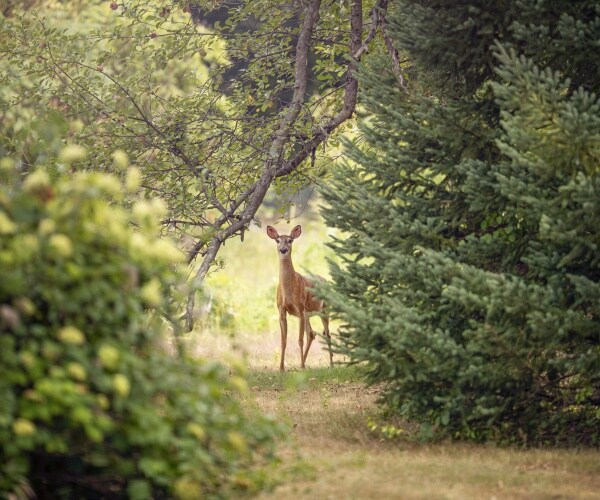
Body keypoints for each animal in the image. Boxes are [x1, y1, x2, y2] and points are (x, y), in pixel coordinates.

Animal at [268, 224, 332, 372]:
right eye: (277, 240)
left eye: (290, 240)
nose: (283, 250)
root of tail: (326, 281)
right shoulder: (281, 311)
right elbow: (283, 341)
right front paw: (281, 368)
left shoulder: (300, 308)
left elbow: (299, 340)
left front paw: (302, 367)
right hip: (308, 314)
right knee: (312, 333)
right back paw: (303, 363)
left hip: (324, 309)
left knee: (327, 335)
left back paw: (331, 364)